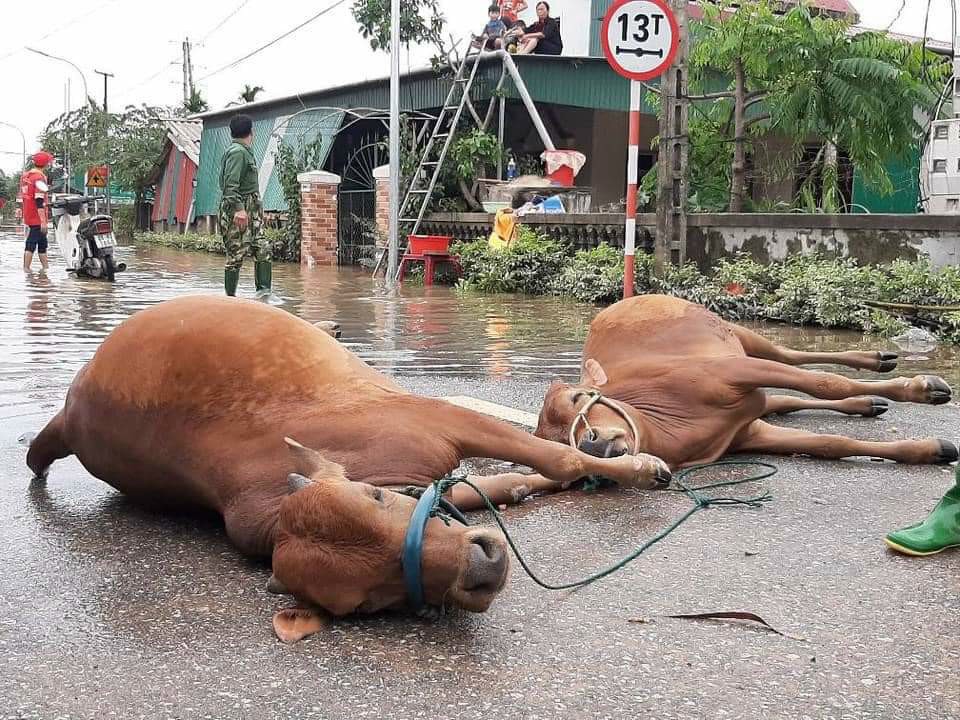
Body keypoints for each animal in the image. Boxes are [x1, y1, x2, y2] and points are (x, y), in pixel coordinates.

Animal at [22, 296, 668, 644]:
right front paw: (542, 486)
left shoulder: (440, 416)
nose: (482, 570)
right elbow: (508, 480)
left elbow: (554, 456)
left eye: (376, 503)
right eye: (370, 604)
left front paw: (635, 467)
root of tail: (69, 415)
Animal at [536, 296, 956, 470]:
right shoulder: (750, 433)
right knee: (784, 401)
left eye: (578, 397)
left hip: (744, 338)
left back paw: (887, 367)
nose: (591, 443)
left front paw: (919, 390)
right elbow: (831, 443)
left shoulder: (734, 371)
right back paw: (867, 404)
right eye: (558, 441)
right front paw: (929, 450)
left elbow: (825, 383)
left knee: (793, 358)